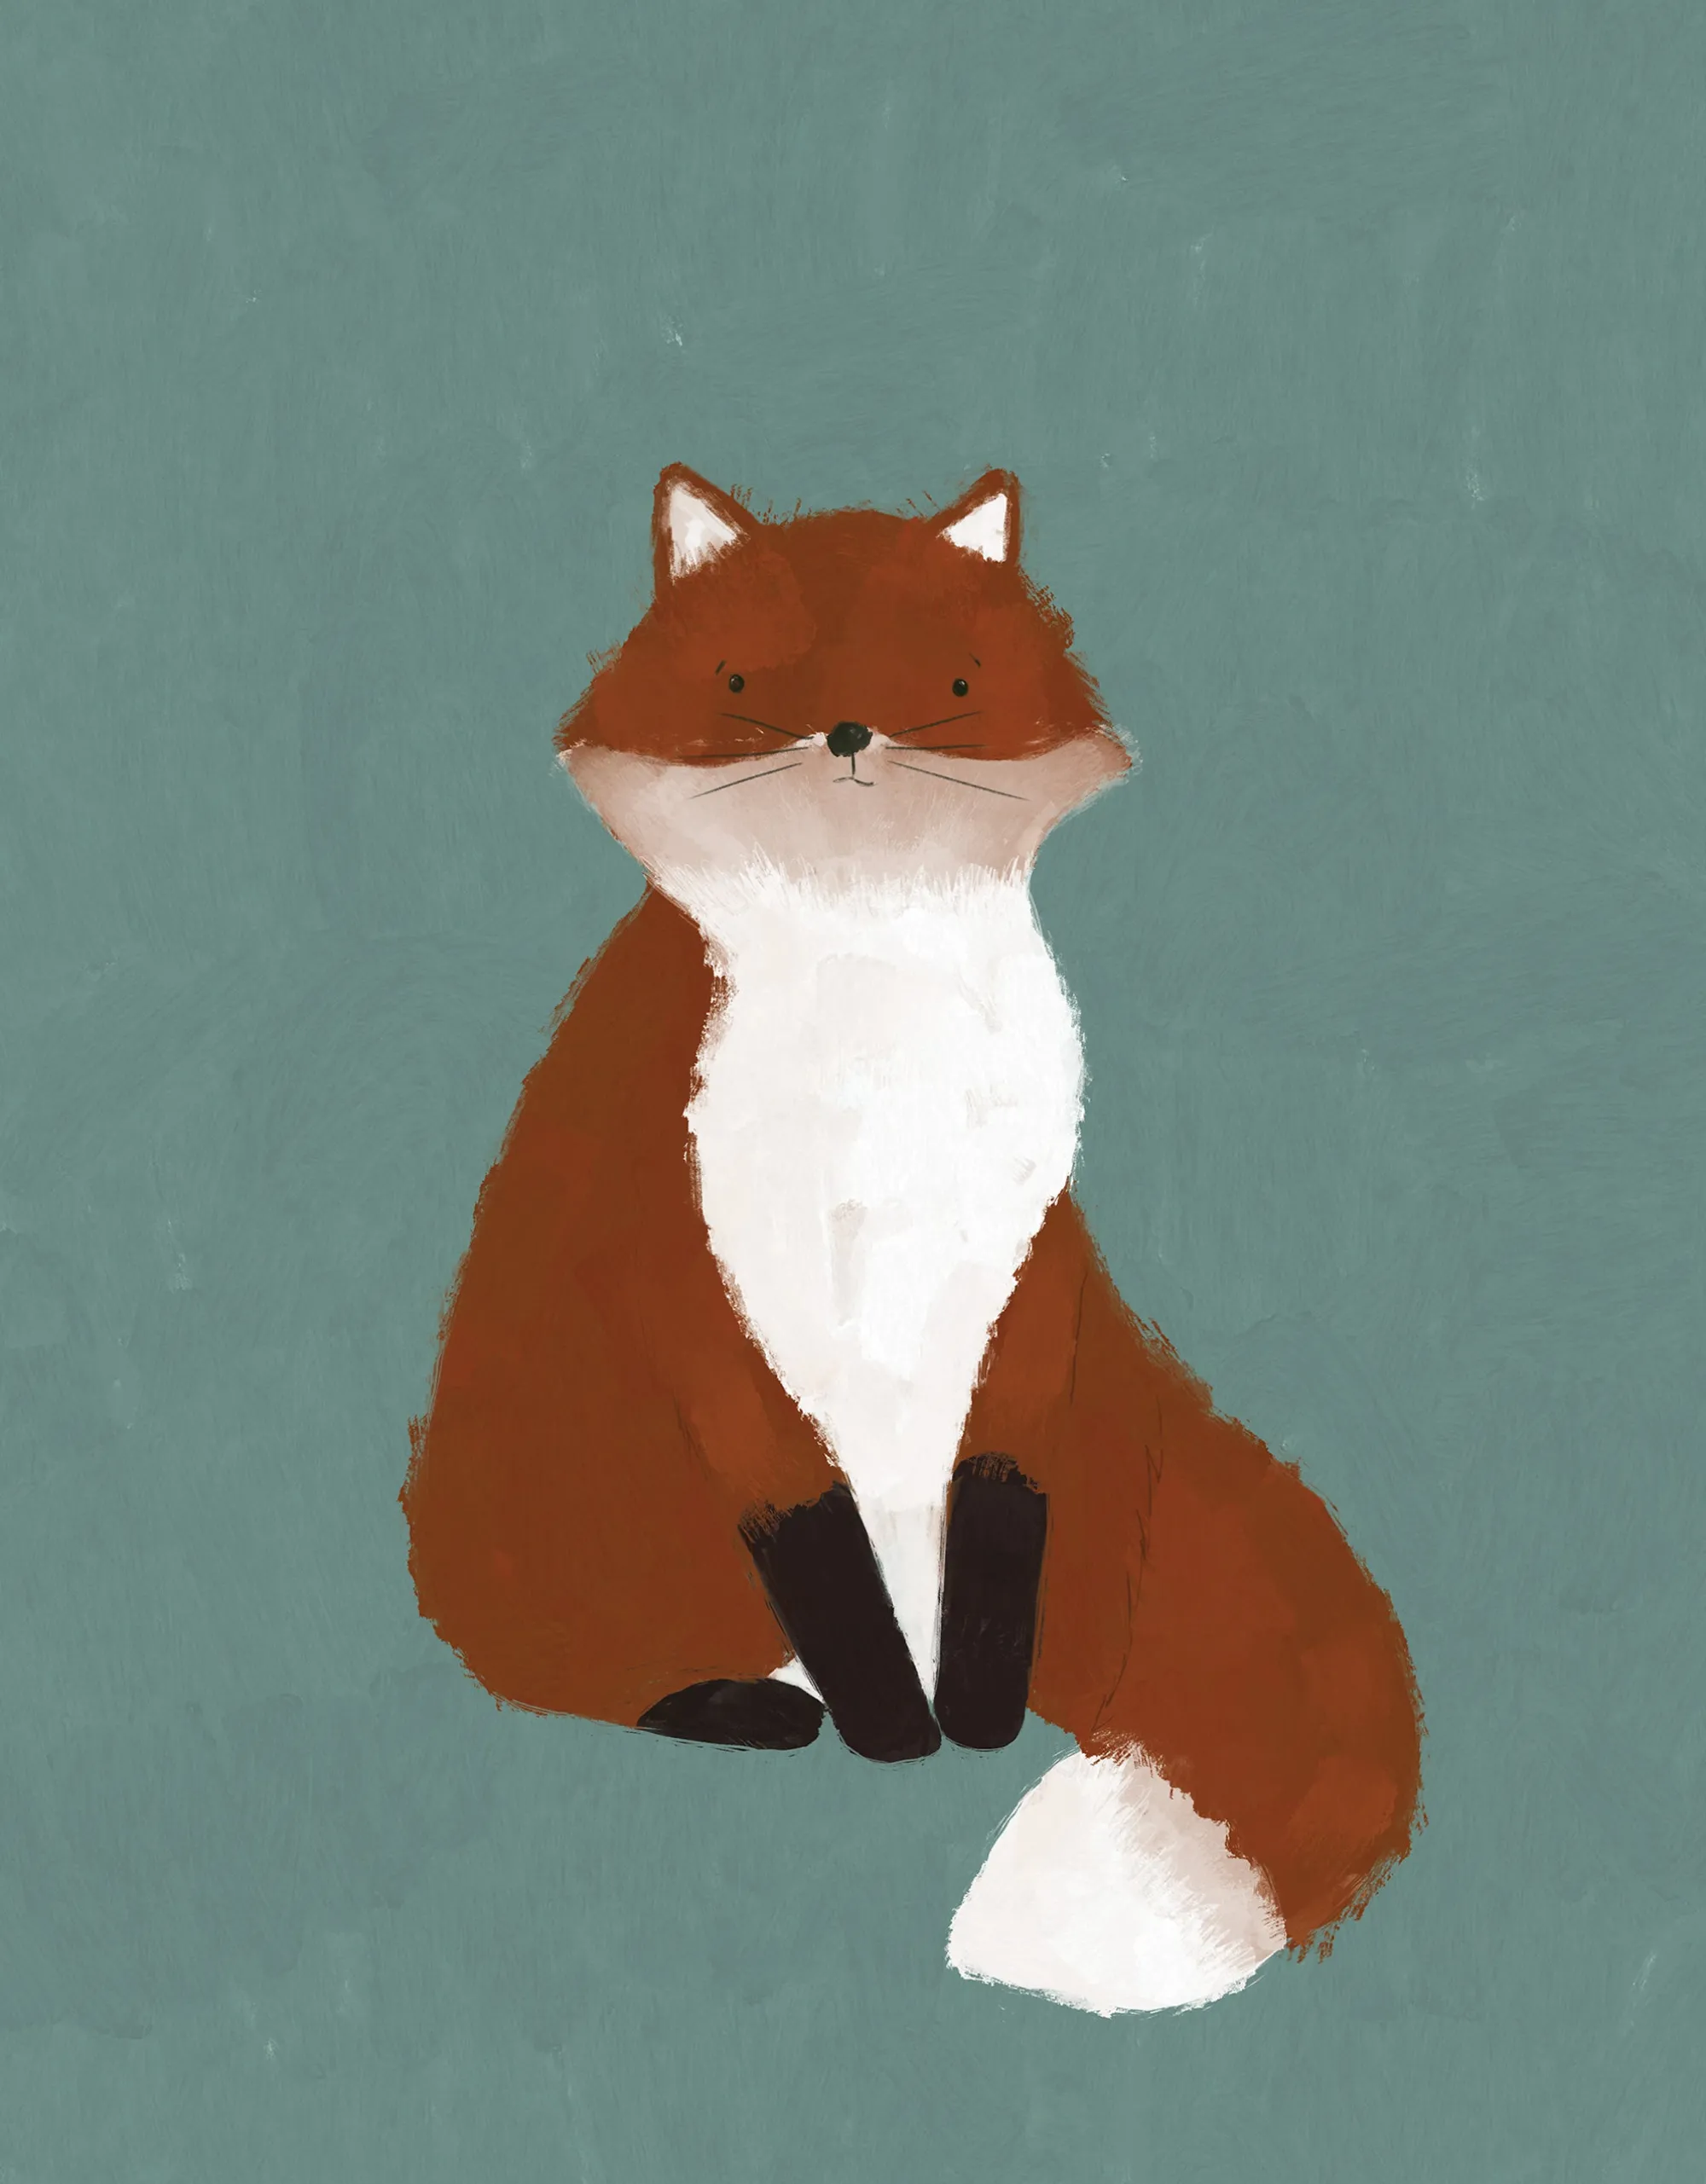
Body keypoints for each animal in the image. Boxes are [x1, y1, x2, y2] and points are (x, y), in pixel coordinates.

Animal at [402, 464, 1423, 2014]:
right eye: (744, 680)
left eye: (948, 681)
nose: (846, 735)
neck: (876, 1013)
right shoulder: (683, 1272)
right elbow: (815, 1538)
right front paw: (896, 1727)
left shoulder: (1030, 1270)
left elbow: (999, 1515)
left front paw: (972, 1720)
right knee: (588, 1666)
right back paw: (755, 1705)